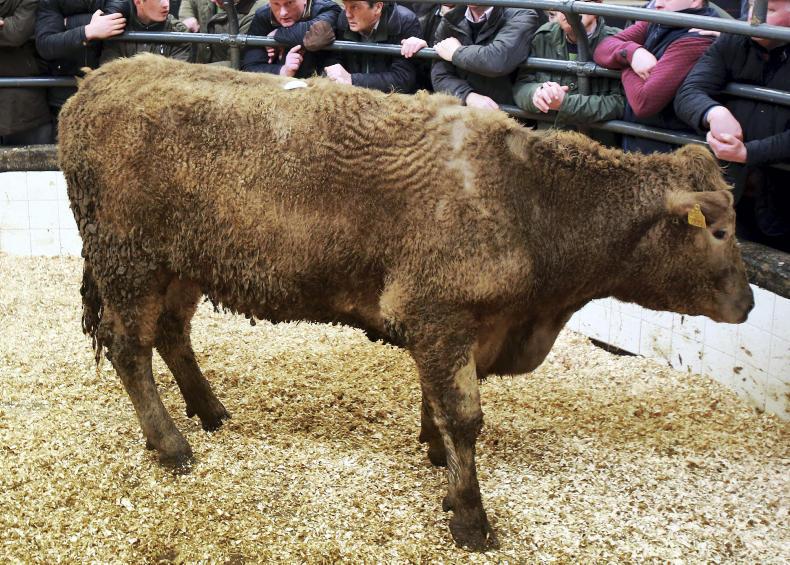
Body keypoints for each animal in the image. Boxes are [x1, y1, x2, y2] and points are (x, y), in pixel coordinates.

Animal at [57, 54, 753, 550]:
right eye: (719, 230)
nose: (748, 303)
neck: (528, 200)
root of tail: (99, 80)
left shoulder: (453, 324)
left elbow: (439, 403)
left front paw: (437, 459)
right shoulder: (438, 312)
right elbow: (465, 415)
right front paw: (470, 517)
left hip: (182, 264)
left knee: (172, 334)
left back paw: (210, 411)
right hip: (129, 260)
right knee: (130, 349)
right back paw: (172, 443)